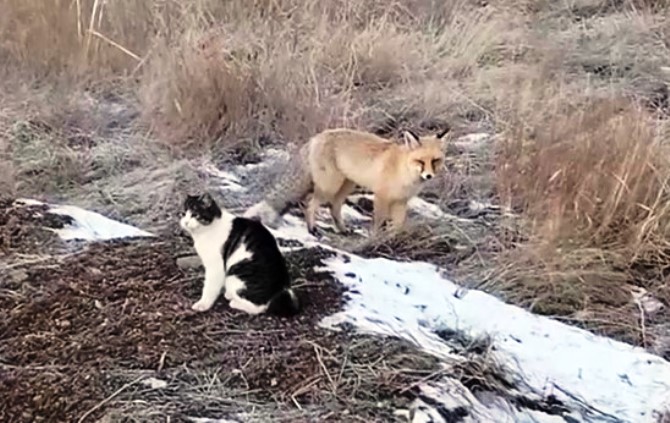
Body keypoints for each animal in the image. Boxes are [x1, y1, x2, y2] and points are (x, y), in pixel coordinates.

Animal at [244, 127, 448, 237]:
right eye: (420, 161)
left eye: (435, 161)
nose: (429, 176)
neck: (404, 172)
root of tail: (316, 137)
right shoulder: (381, 196)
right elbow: (378, 221)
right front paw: (374, 240)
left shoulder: (400, 202)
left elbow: (397, 227)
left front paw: (392, 242)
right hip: (330, 186)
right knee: (310, 205)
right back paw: (312, 229)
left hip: (346, 186)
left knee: (333, 209)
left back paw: (341, 230)